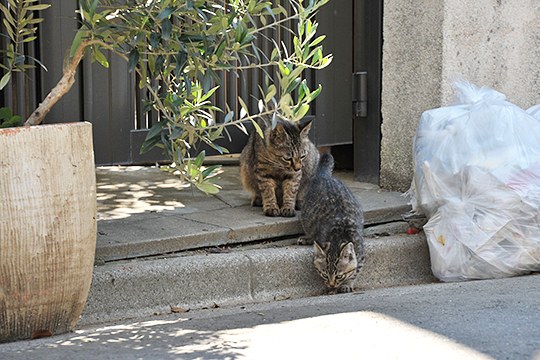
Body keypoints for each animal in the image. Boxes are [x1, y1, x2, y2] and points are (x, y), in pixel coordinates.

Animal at [300, 153, 368, 294]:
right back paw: (307, 238)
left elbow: (355, 271)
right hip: (306, 216)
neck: (339, 234)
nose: (331, 285)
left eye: (339, 276)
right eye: (324, 275)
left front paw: (347, 284)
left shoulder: (361, 254)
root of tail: (324, 176)